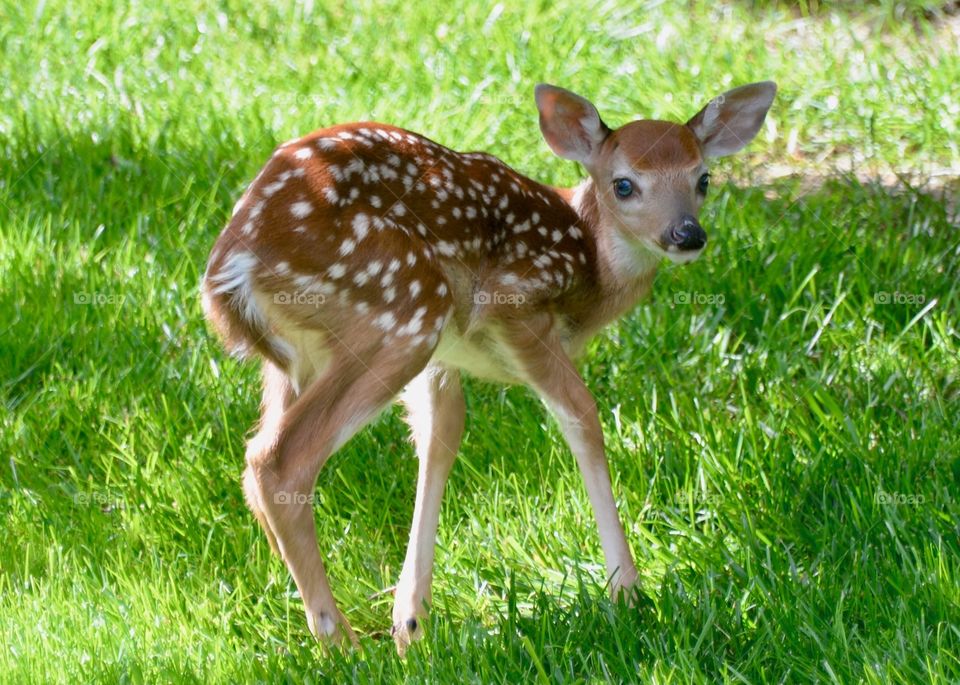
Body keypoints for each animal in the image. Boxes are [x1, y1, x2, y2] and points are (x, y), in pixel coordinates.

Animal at [201, 81, 772, 652]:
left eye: (703, 178)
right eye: (624, 184)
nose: (687, 234)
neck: (589, 267)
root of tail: (230, 266)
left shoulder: (443, 360)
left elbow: (442, 435)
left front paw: (411, 622)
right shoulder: (517, 307)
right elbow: (581, 417)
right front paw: (628, 593)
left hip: (300, 358)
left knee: (259, 456)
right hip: (403, 307)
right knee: (278, 459)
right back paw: (341, 642)